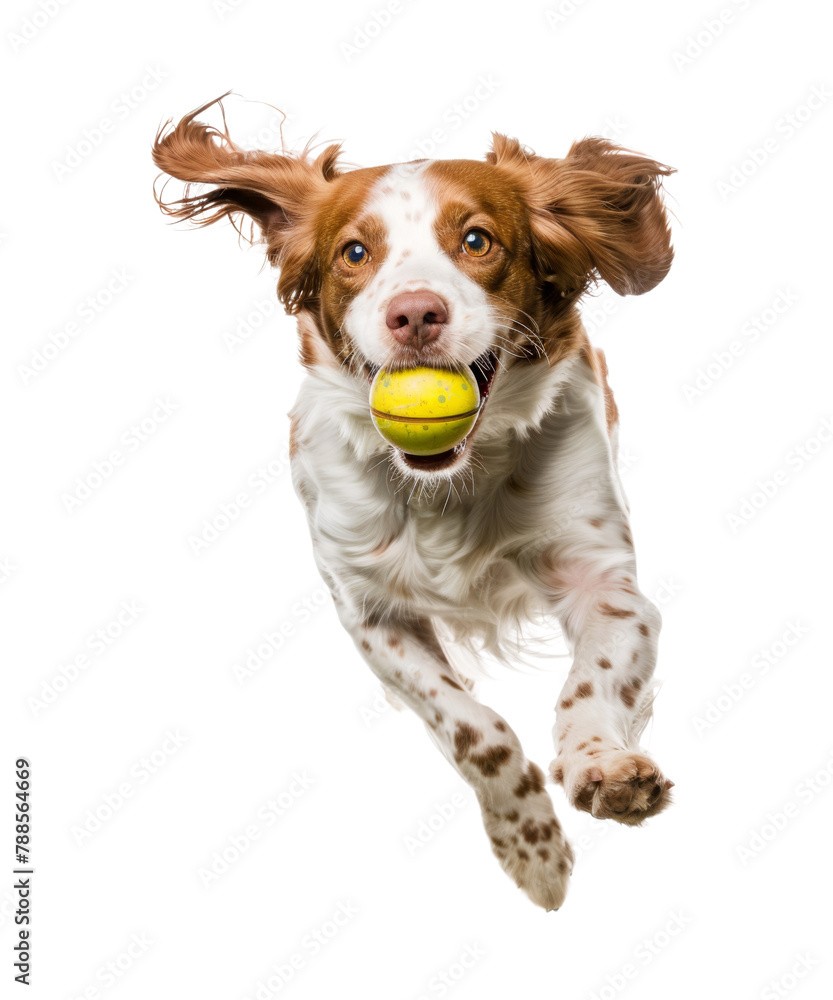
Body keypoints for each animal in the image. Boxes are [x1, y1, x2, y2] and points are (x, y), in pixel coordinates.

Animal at [154, 97, 676, 912]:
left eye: (476, 240)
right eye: (353, 253)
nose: (415, 314)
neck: (446, 484)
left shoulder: (608, 585)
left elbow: (590, 684)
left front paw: (602, 764)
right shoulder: (372, 613)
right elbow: (474, 729)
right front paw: (531, 848)